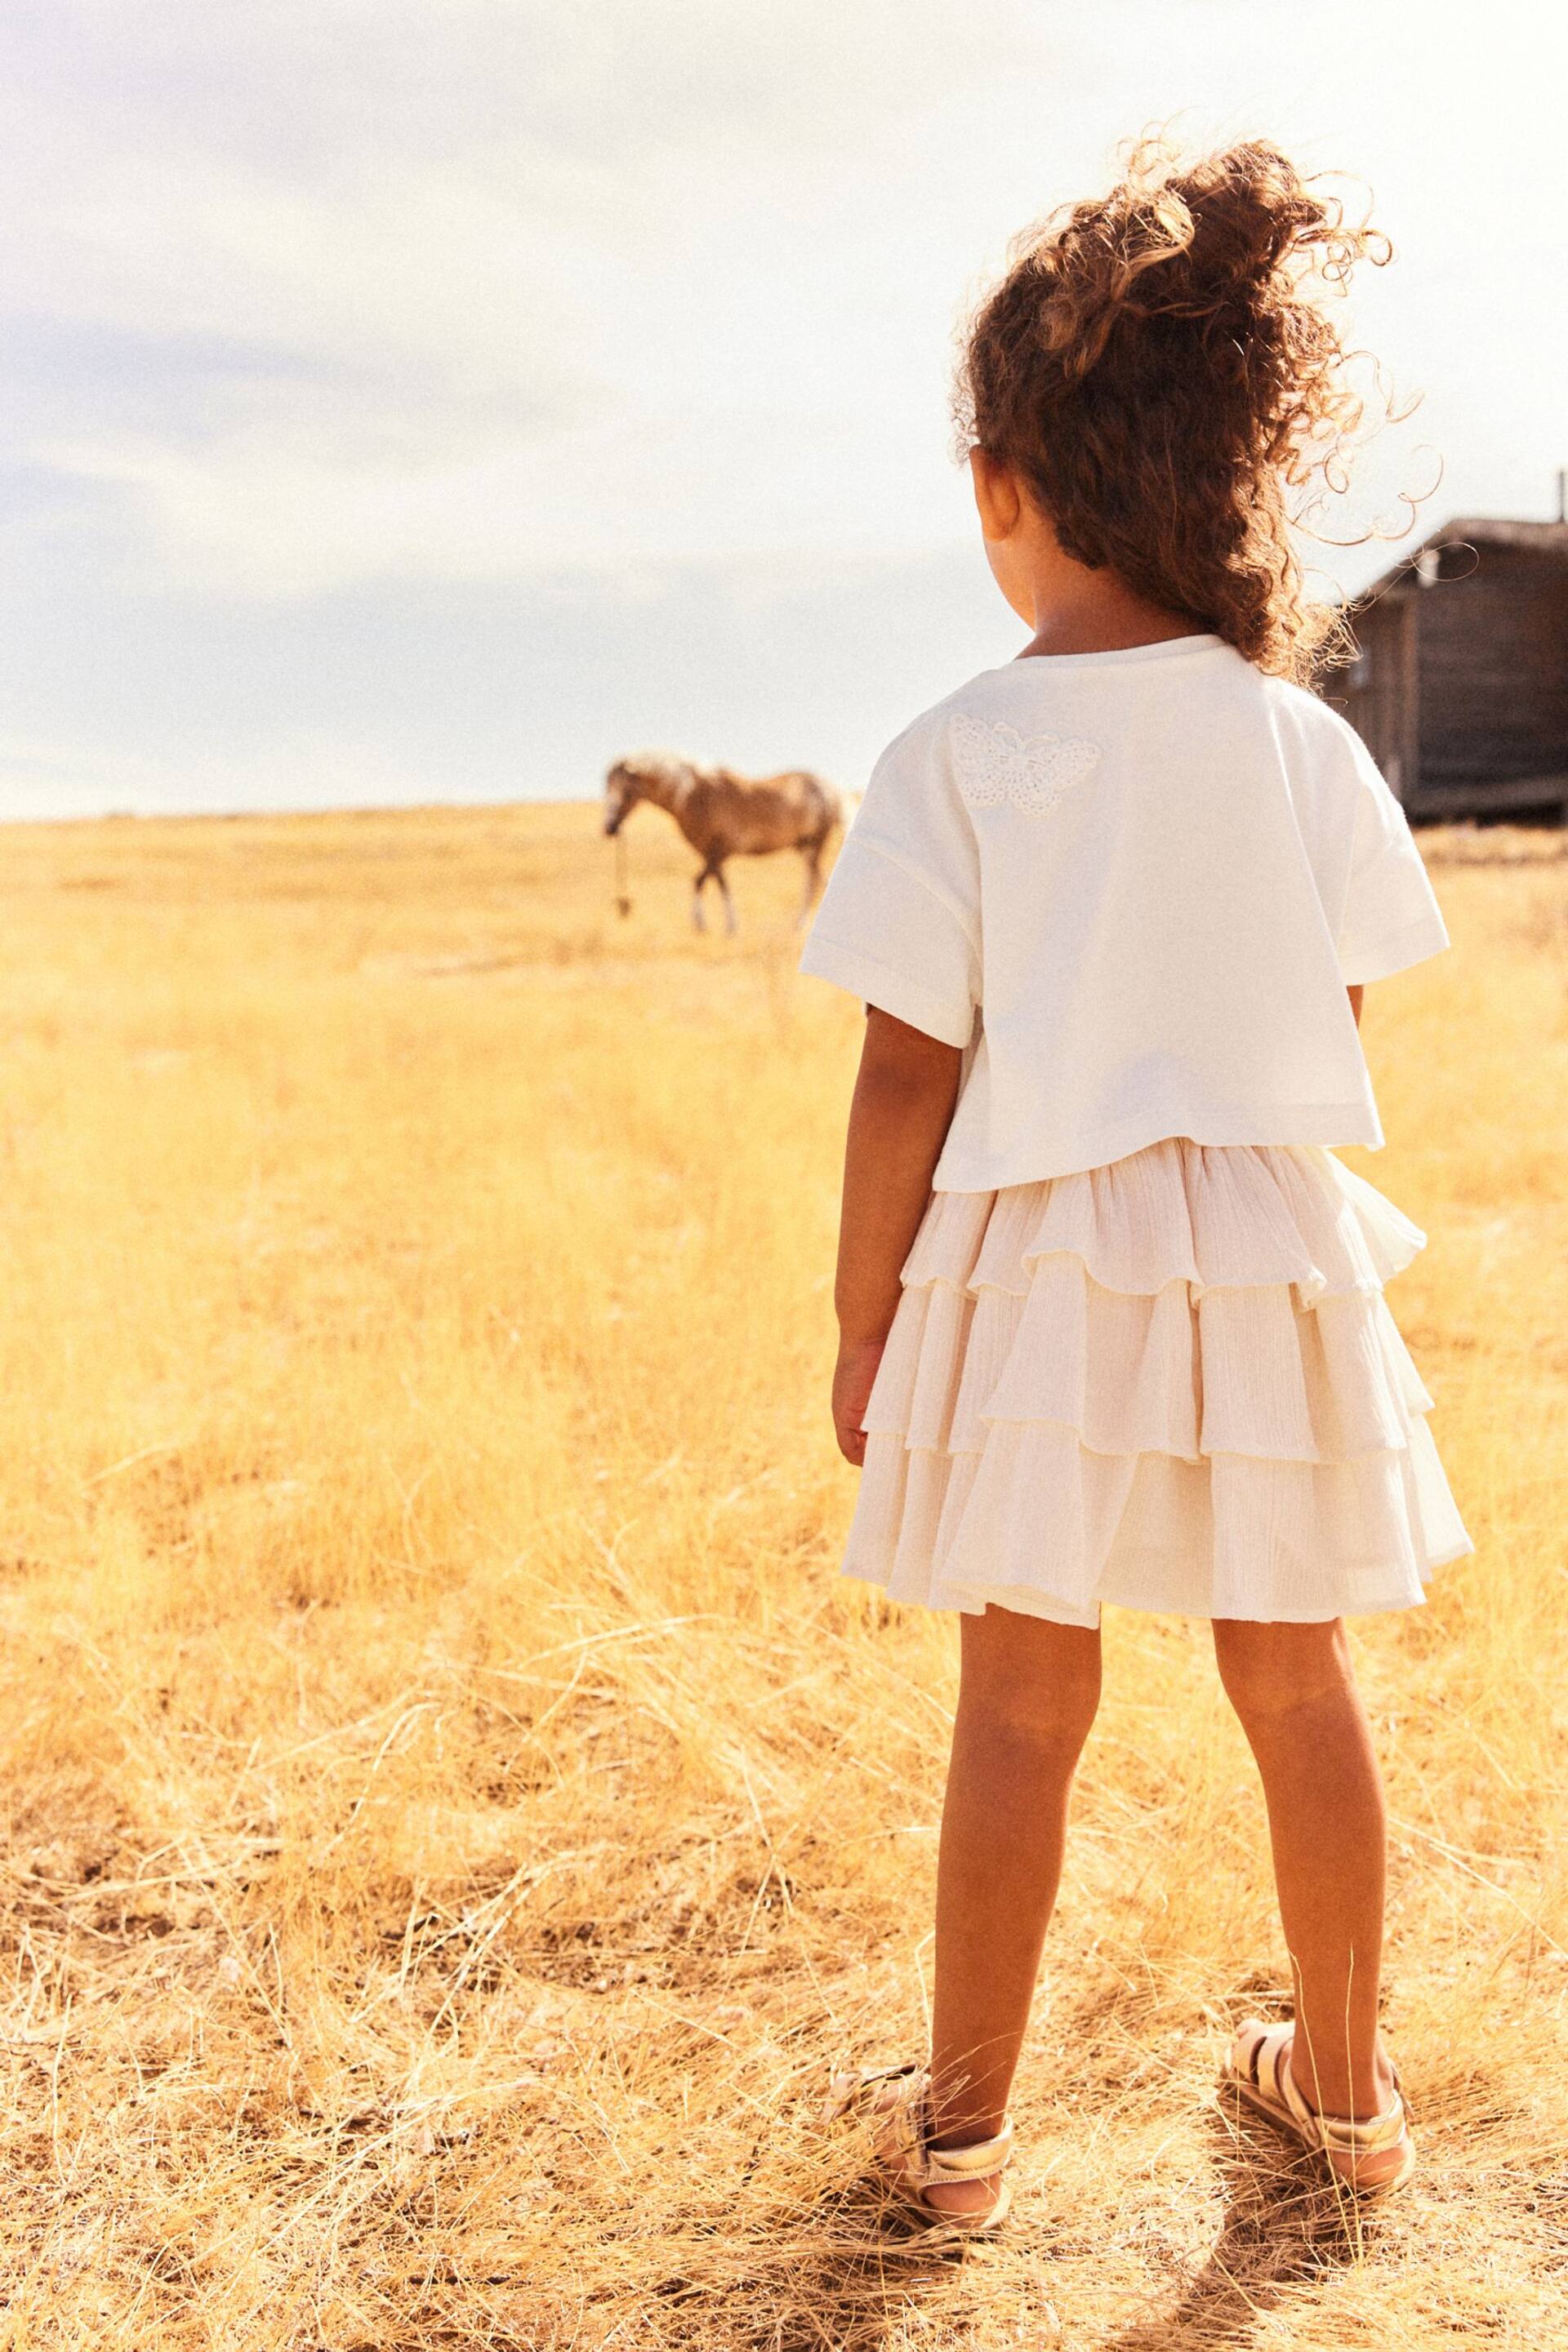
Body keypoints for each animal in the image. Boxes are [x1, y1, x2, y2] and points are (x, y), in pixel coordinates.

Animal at [606, 752, 846, 936]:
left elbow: (703, 882)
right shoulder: (710, 853)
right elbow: (715, 882)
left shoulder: (720, 850)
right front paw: (720, 925)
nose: (609, 828)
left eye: (626, 791)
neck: (694, 796)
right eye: (607, 789)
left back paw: (802, 923)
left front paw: (711, 925)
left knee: (814, 879)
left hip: (816, 843)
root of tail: (829, 788)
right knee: (815, 878)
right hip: (804, 846)